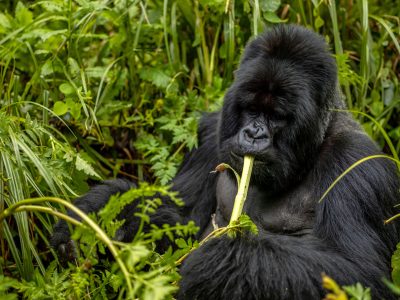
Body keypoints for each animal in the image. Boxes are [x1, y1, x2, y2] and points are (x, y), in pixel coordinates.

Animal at [50, 26, 400, 300]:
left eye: (276, 116)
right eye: (251, 109)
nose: (254, 133)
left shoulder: (359, 166)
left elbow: (359, 273)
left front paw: (219, 260)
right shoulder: (211, 132)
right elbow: (180, 218)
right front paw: (99, 215)